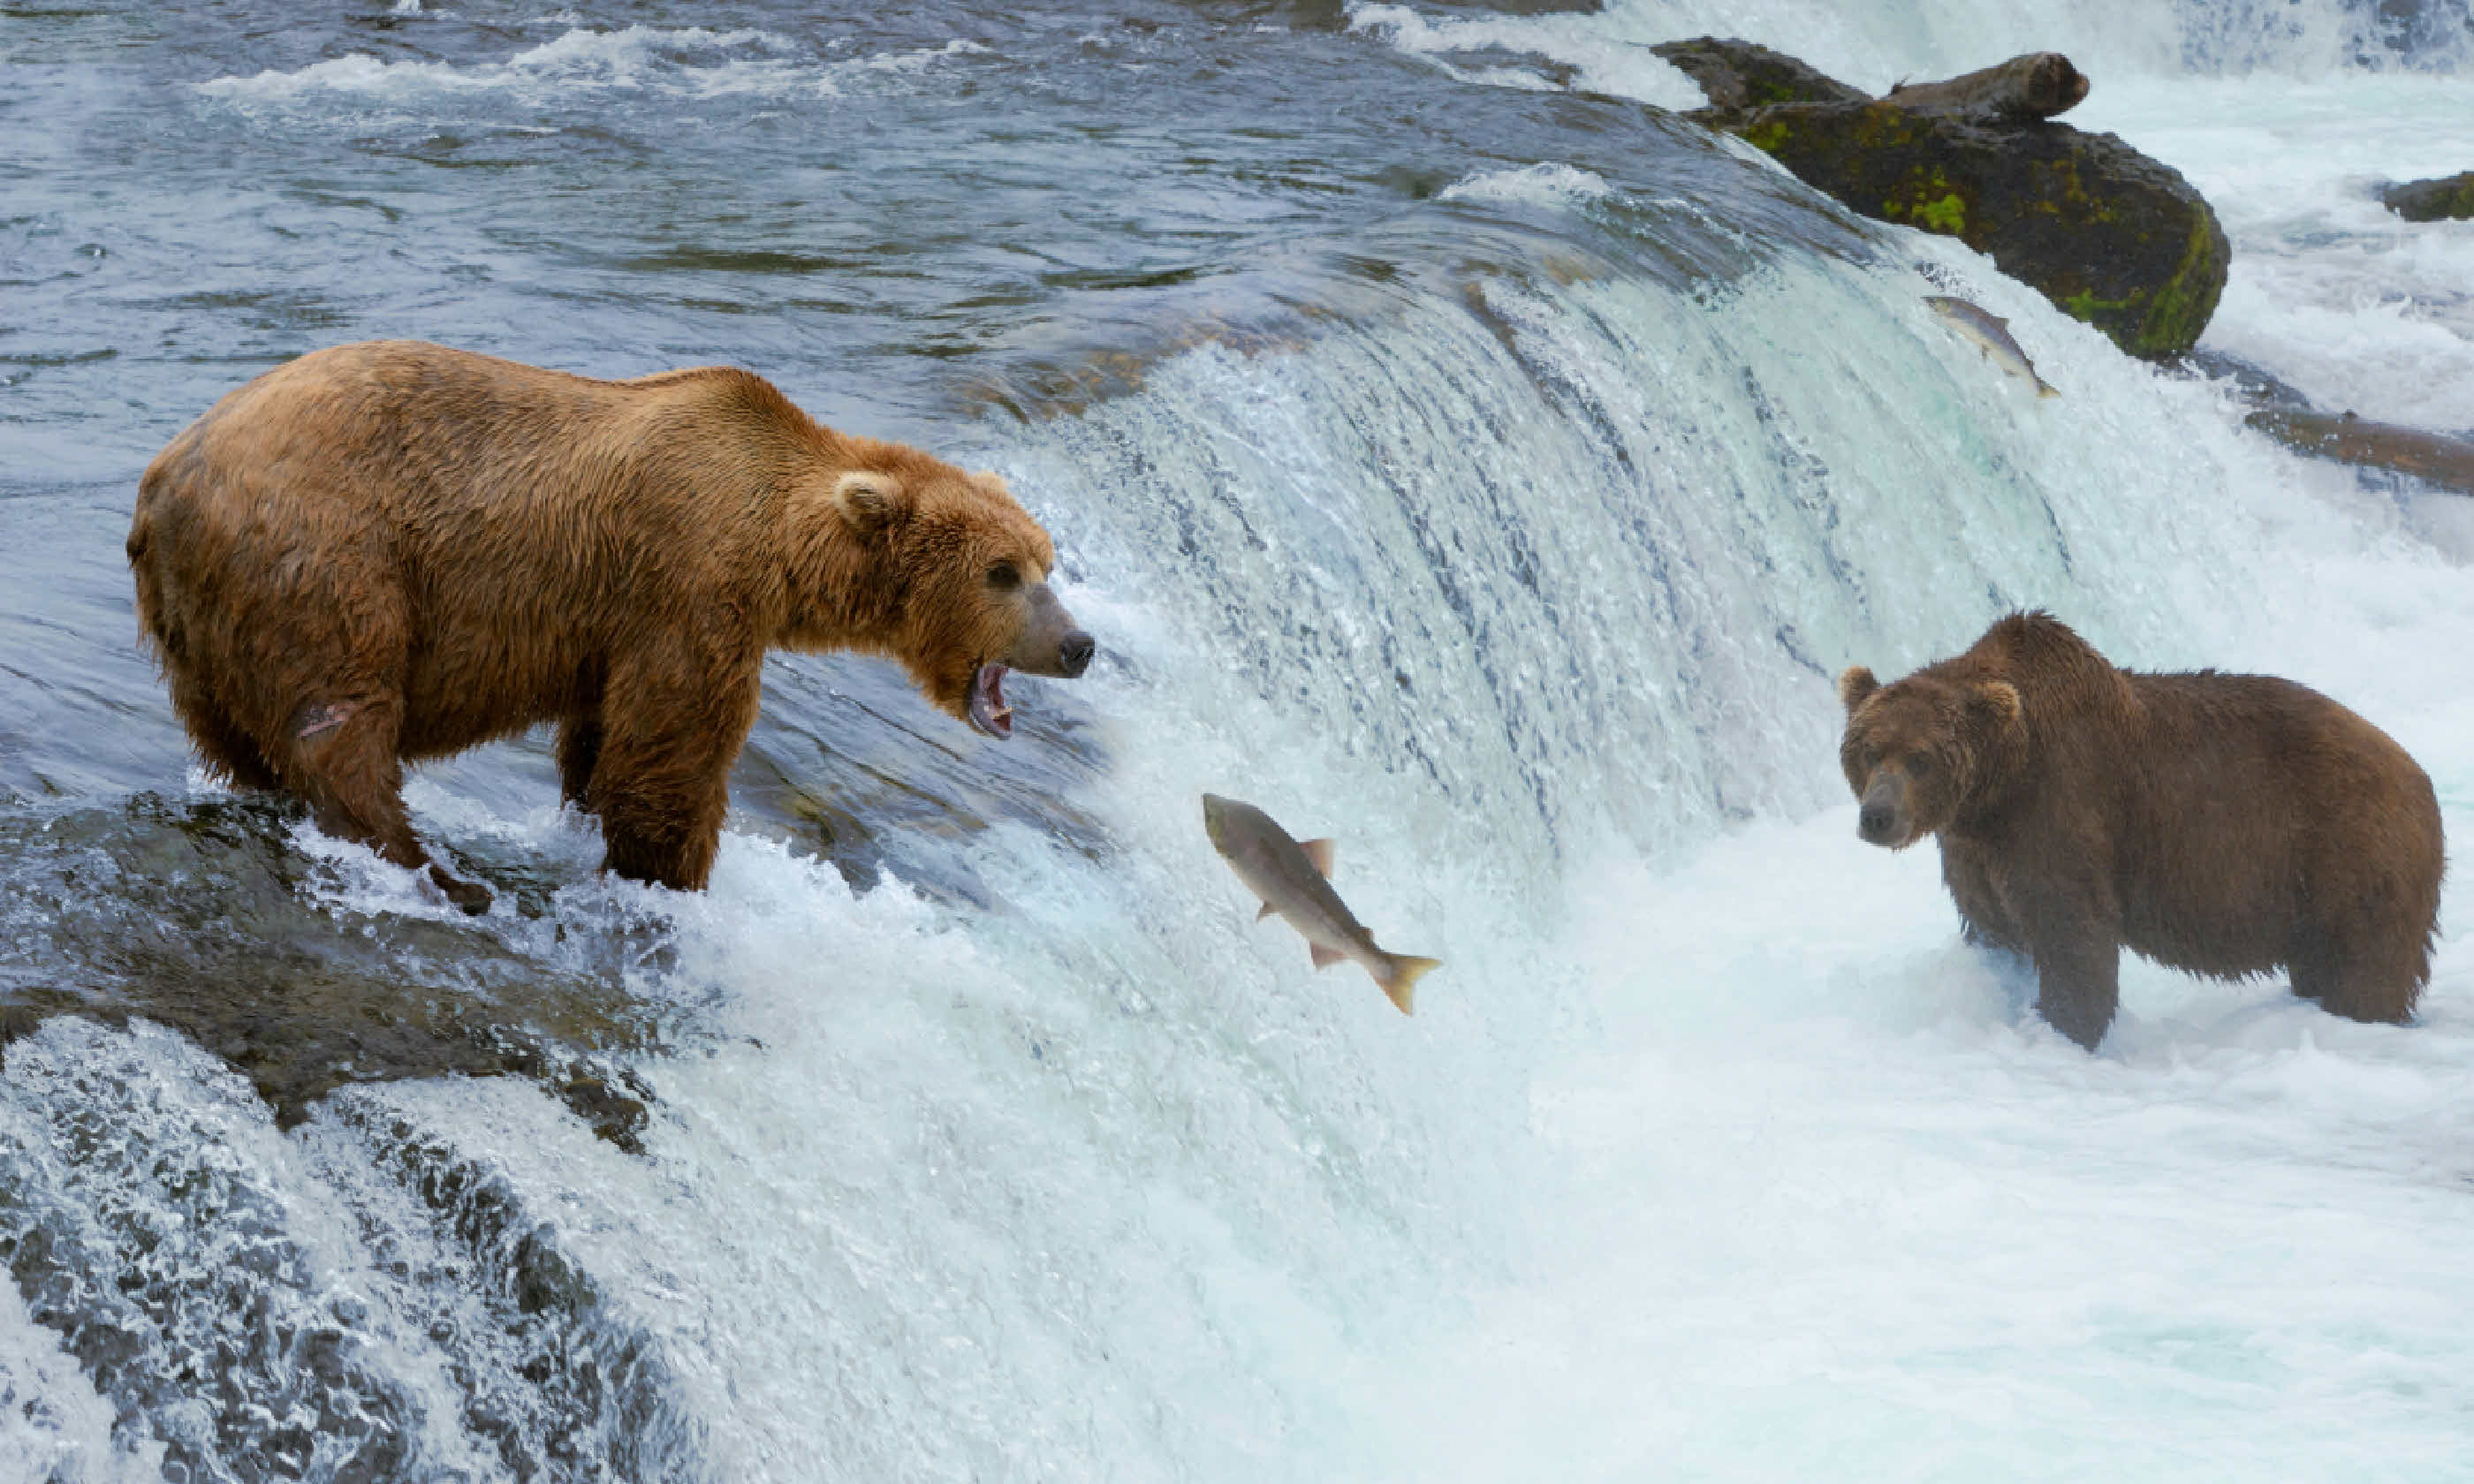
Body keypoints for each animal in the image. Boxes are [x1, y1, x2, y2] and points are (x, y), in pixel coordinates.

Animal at [127, 341, 1093, 910]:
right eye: (1002, 573)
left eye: (1047, 560)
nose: (1079, 644)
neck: (780, 544)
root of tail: (165, 476)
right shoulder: (688, 581)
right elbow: (672, 752)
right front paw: (672, 872)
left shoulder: (616, 623)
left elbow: (601, 743)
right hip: (326, 555)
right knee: (342, 720)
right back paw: (433, 870)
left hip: (197, 623)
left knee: (235, 735)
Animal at [1840, 608, 2434, 1049]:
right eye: (1869, 749)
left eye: (1920, 759)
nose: (1878, 817)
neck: (1999, 783)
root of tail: (2415, 772)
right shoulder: (1975, 846)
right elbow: (1992, 923)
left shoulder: (2060, 808)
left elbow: (2072, 934)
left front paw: (2065, 1028)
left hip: (2352, 856)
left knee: (2367, 969)